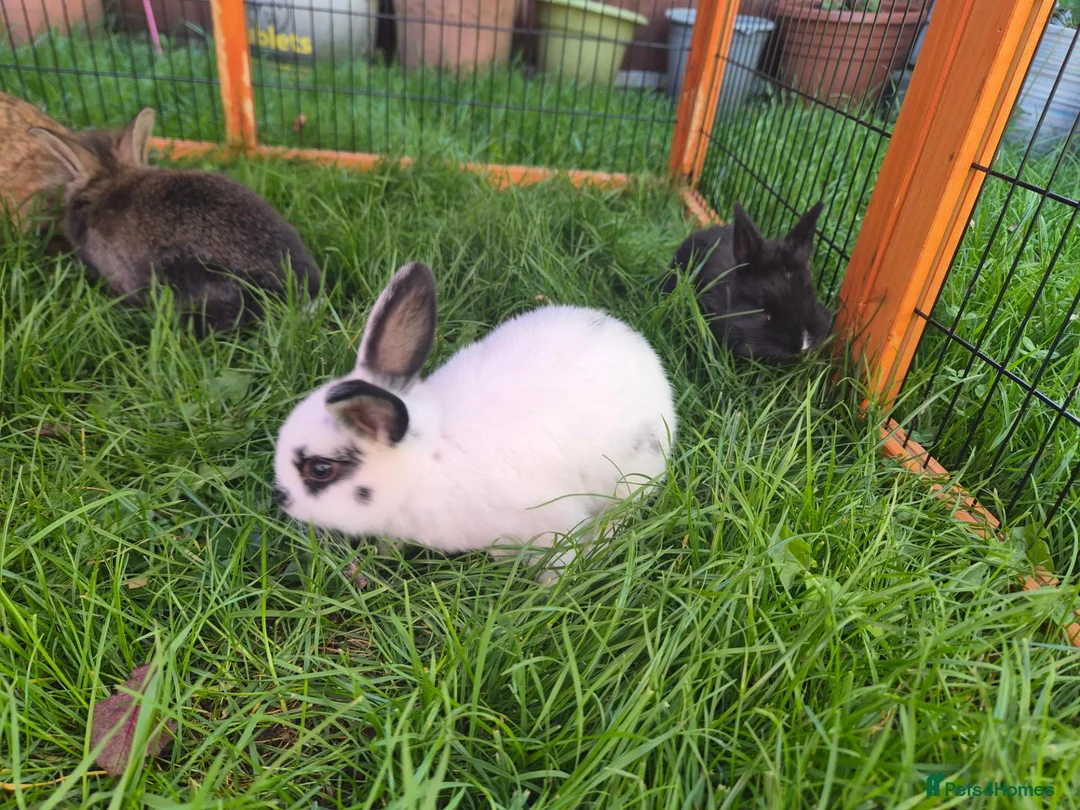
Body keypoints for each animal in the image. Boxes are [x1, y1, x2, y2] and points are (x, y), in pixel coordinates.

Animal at [272, 262, 677, 584]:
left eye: (320, 470)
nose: (281, 499)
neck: (425, 464)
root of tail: (642, 350)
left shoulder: (552, 523)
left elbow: (560, 558)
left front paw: (550, 588)